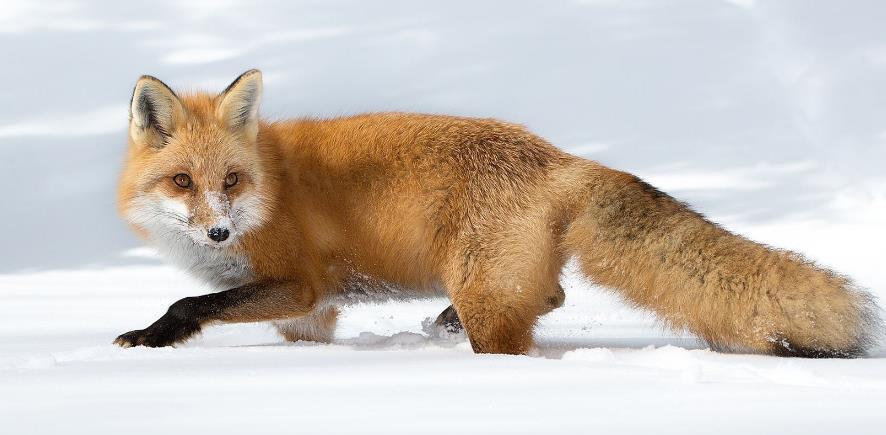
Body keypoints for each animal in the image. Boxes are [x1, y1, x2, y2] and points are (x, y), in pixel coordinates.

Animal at [116, 70, 880, 358]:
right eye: (183, 181)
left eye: (232, 181)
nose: (219, 229)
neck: (269, 189)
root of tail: (557, 156)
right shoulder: (314, 312)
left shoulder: (300, 284)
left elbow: (192, 303)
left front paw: (153, 337)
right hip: (496, 279)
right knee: (554, 294)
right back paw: (444, 324)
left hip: (485, 294)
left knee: (522, 335)